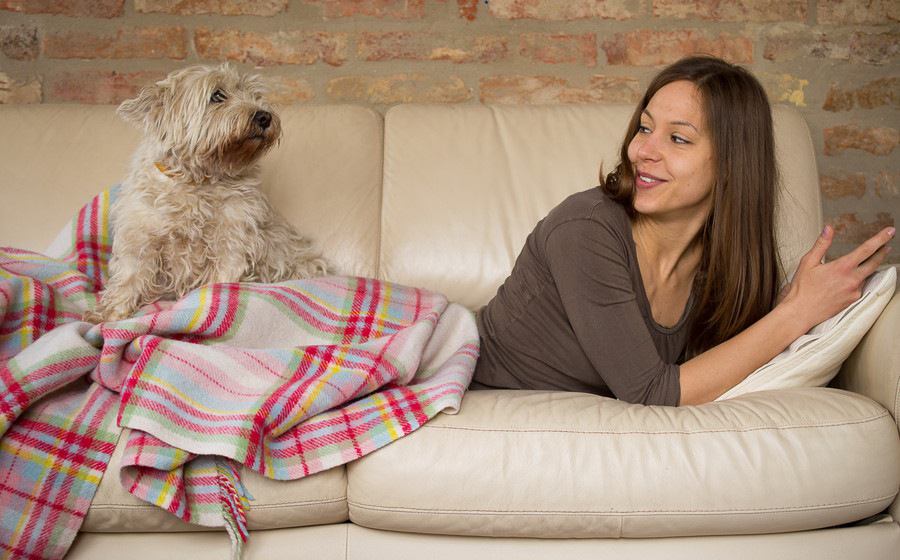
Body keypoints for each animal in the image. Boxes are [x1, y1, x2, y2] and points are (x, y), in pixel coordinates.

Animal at [85, 63, 326, 322]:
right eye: (217, 95)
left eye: (255, 95)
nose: (265, 116)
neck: (197, 180)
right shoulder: (140, 236)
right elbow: (129, 276)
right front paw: (107, 313)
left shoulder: (232, 240)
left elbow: (221, 277)